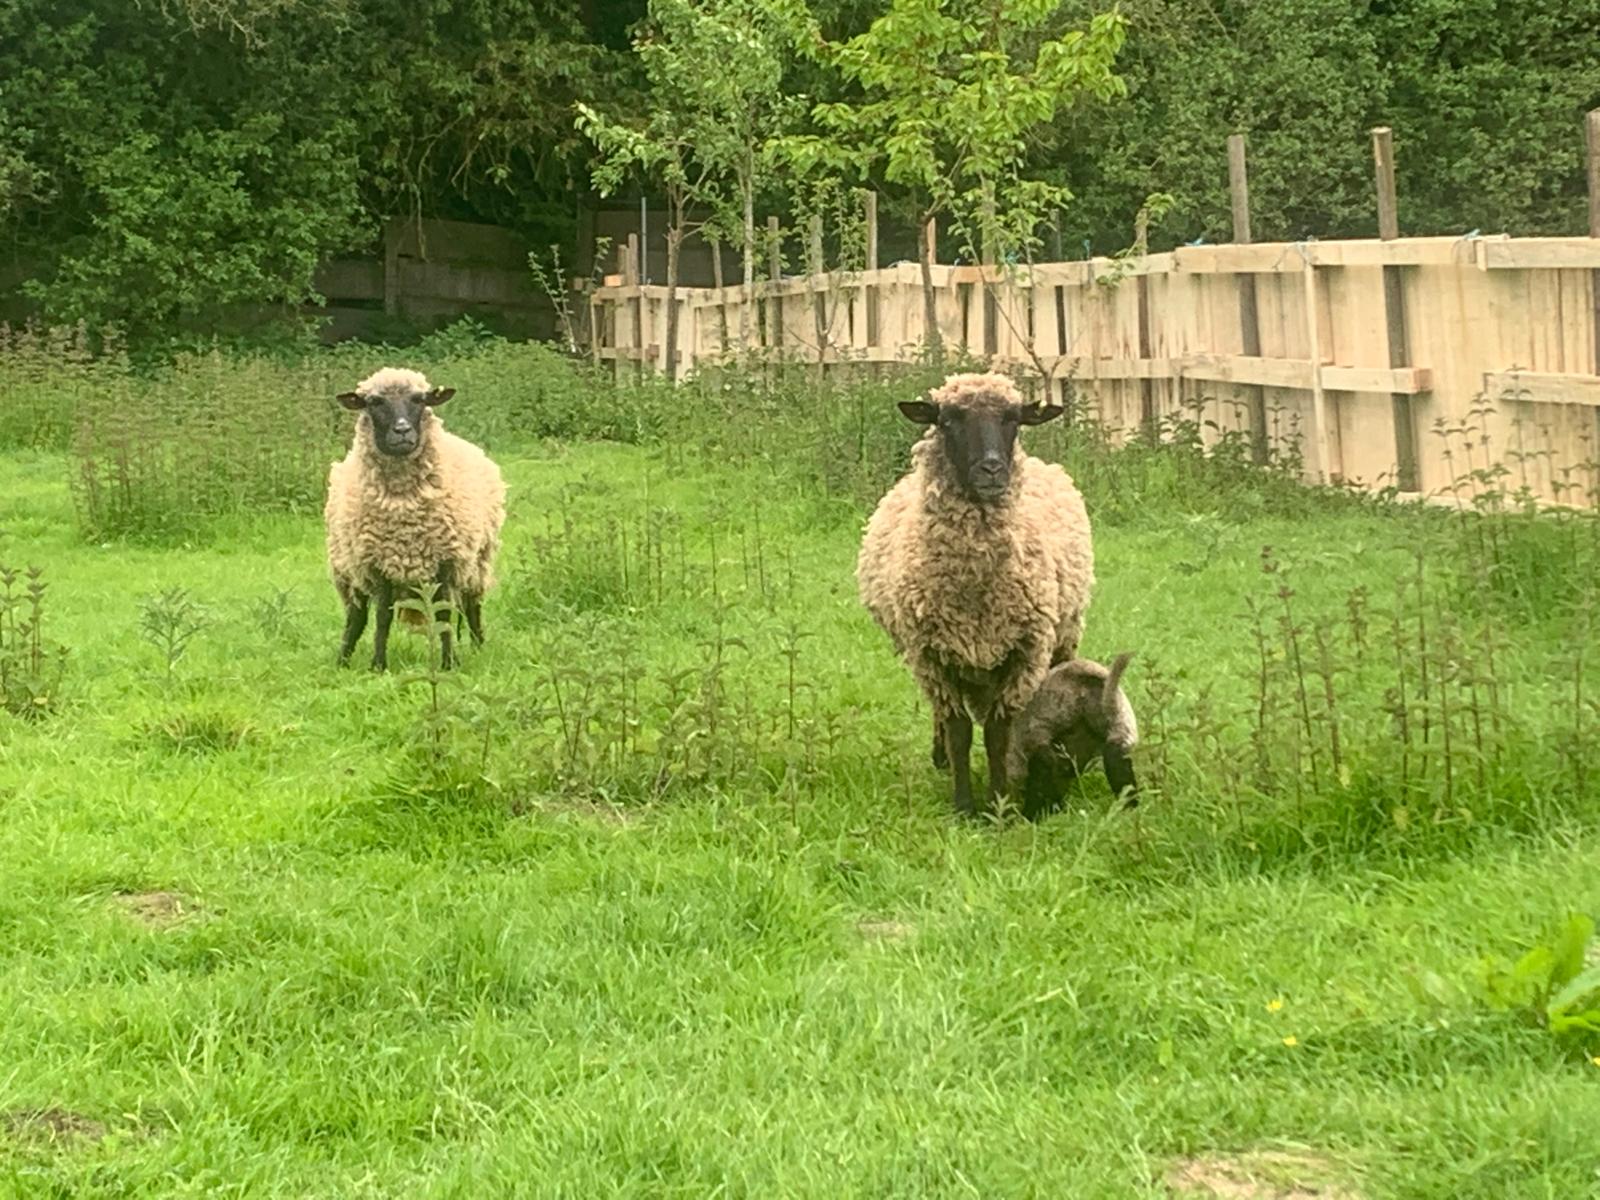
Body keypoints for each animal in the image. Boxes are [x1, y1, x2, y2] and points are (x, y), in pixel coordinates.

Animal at [324, 367, 506, 671]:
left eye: (420, 399)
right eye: (374, 402)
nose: (402, 431)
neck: (403, 509)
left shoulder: (446, 562)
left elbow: (444, 616)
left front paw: (448, 664)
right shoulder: (379, 565)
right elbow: (382, 618)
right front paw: (378, 666)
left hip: (478, 560)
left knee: (472, 606)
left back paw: (479, 647)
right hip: (349, 568)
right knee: (356, 617)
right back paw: (342, 660)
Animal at [856, 371, 1095, 817]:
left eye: (1013, 420)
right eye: (948, 420)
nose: (992, 469)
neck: (976, 595)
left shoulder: (1023, 652)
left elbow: (998, 734)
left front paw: (1000, 805)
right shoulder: (933, 653)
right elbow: (959, 730)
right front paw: (964, 805)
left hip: (1064, 636)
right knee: (940, 714)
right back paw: (941, 758)